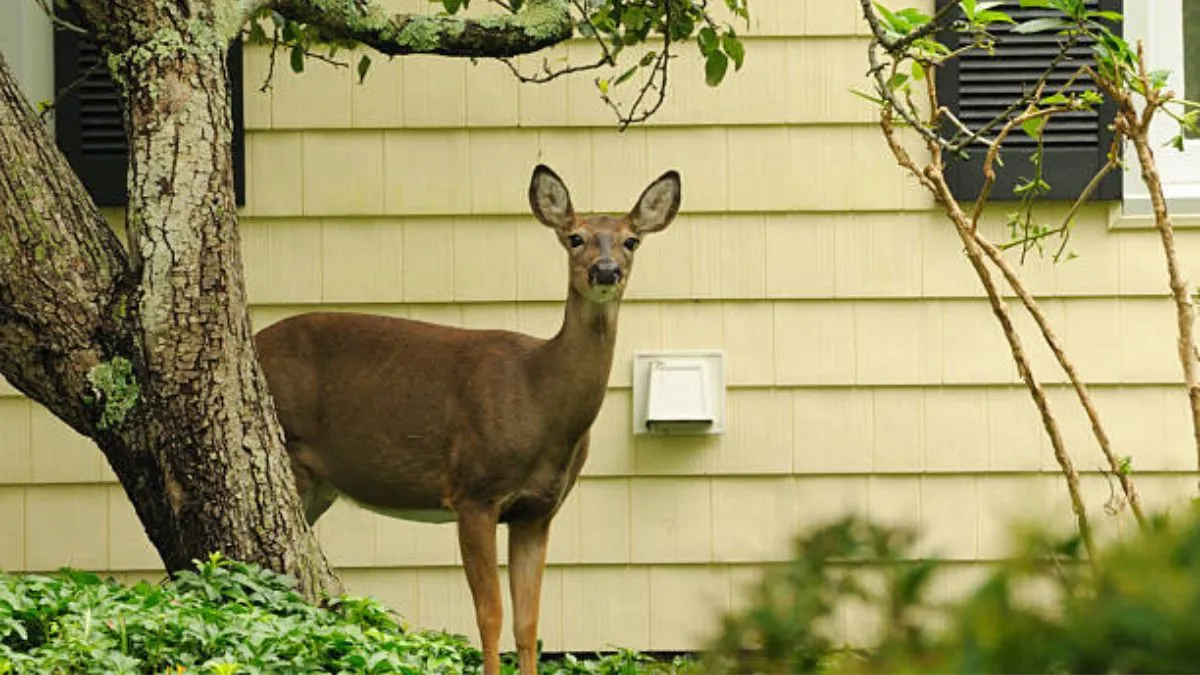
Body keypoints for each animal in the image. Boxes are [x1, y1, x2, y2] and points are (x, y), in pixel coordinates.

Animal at [253, 165, 682, 675]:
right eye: (575, 237)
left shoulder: (538, 510)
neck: (539, 398)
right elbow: (489, 615)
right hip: (291, 453)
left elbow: (529, 622)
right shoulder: (474, 492)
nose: (605, 271)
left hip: (320, 484)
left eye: (631, 240)